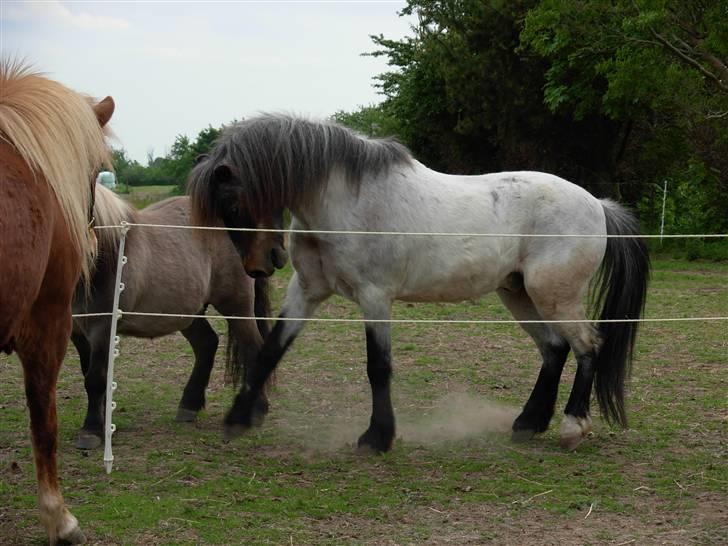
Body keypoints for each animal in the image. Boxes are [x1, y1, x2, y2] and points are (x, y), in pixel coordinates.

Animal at [71, 185, 276, 448]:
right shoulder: (77, 332)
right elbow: (90, 374)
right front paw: (104, 426)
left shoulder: (102, 328)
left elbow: (95, 378)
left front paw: (91, 431)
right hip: (186, 312)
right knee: (206, 343)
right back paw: (188, 406)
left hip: (236, 307)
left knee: (252, 349)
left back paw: (255, 411)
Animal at [186, 113, 648, 450]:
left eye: (233, 203)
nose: (263, 264)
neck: (347, 201)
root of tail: (597, 204)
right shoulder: (306, 291)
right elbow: (270, 351)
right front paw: (237, 419)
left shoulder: (374, 297)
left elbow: (378, 366)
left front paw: (377, 438)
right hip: (518, 293)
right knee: (554, 349)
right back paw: (527, 424)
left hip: (554, 295)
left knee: (587, 347)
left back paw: (572, 426)